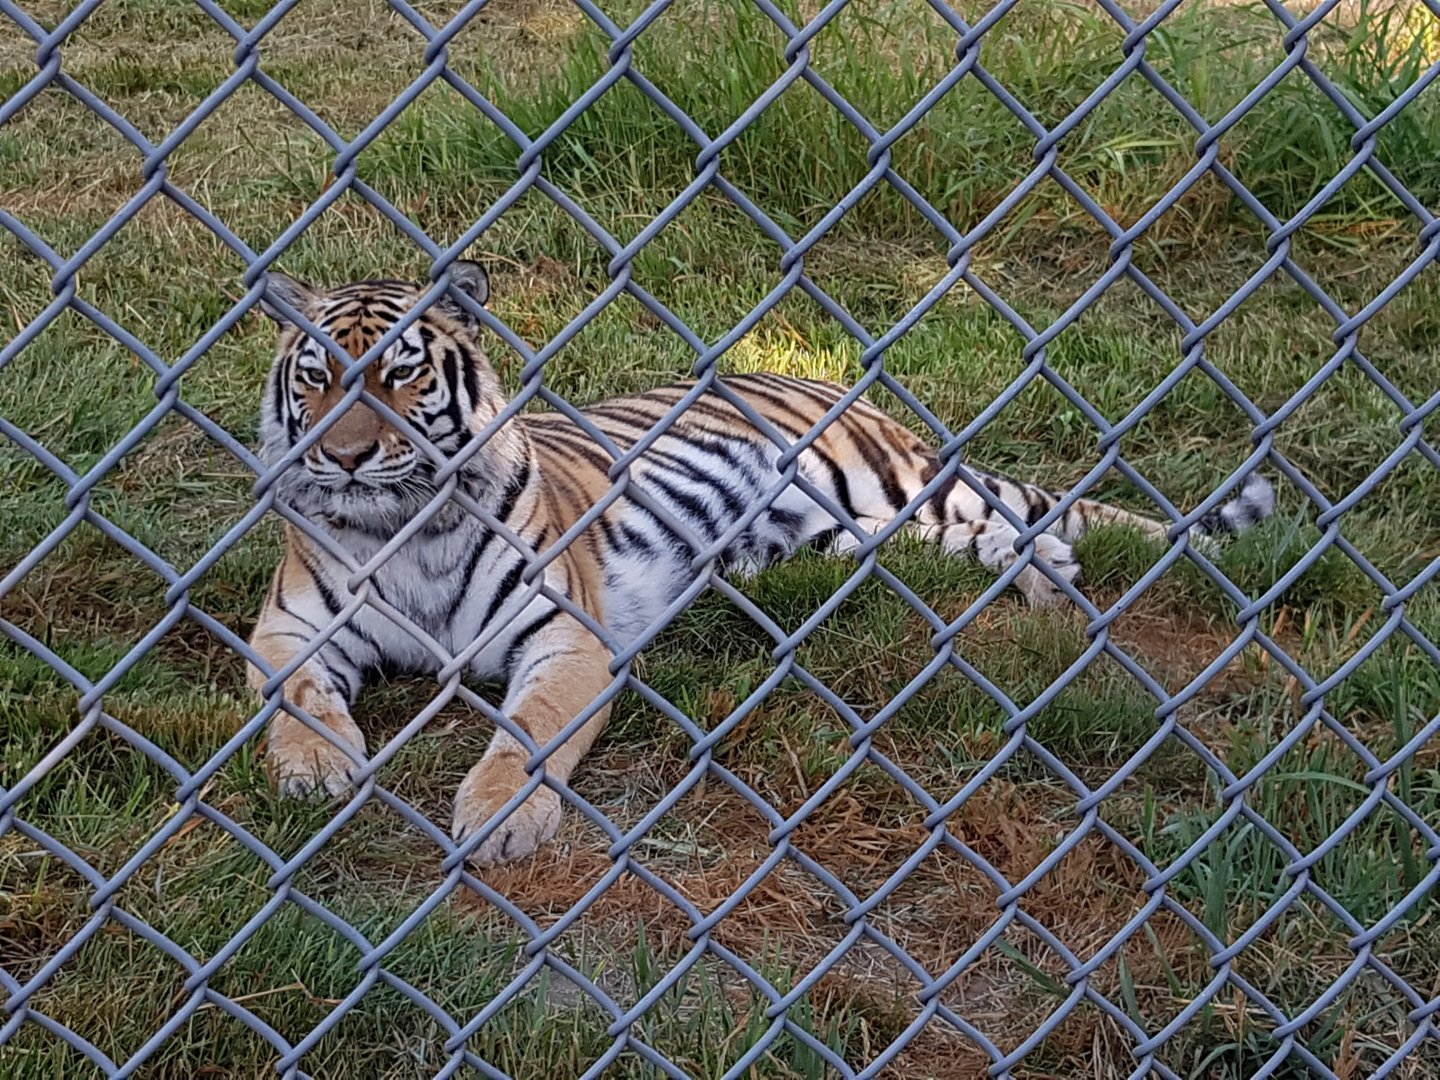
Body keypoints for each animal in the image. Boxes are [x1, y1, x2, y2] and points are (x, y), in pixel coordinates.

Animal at [246, 261, 1274, 867]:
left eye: (402, 373)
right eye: (317, 378)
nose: (343, 456)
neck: (401, 528)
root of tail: (834, 381)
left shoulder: (565, 638)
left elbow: (527, 735)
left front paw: (497, 819)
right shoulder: (289, 627)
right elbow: (299, 700)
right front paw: (316, 773)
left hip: (907, 489)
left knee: (1026, 517)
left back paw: (1083, 596)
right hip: (870, 536)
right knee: (1008, 539)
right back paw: (1051, 598)